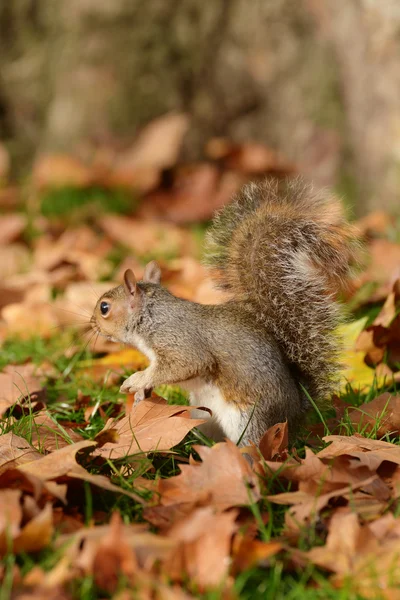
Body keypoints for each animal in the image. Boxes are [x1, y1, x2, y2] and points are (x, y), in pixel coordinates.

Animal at [91, 177, 356, 446]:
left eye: (104, 308)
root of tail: (294, 415)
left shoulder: (177, 340)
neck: (153, 315)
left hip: (249, 418)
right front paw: (141, 393)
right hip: (203, 414)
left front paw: (136, 380)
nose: (92, 323)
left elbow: (186, 364)